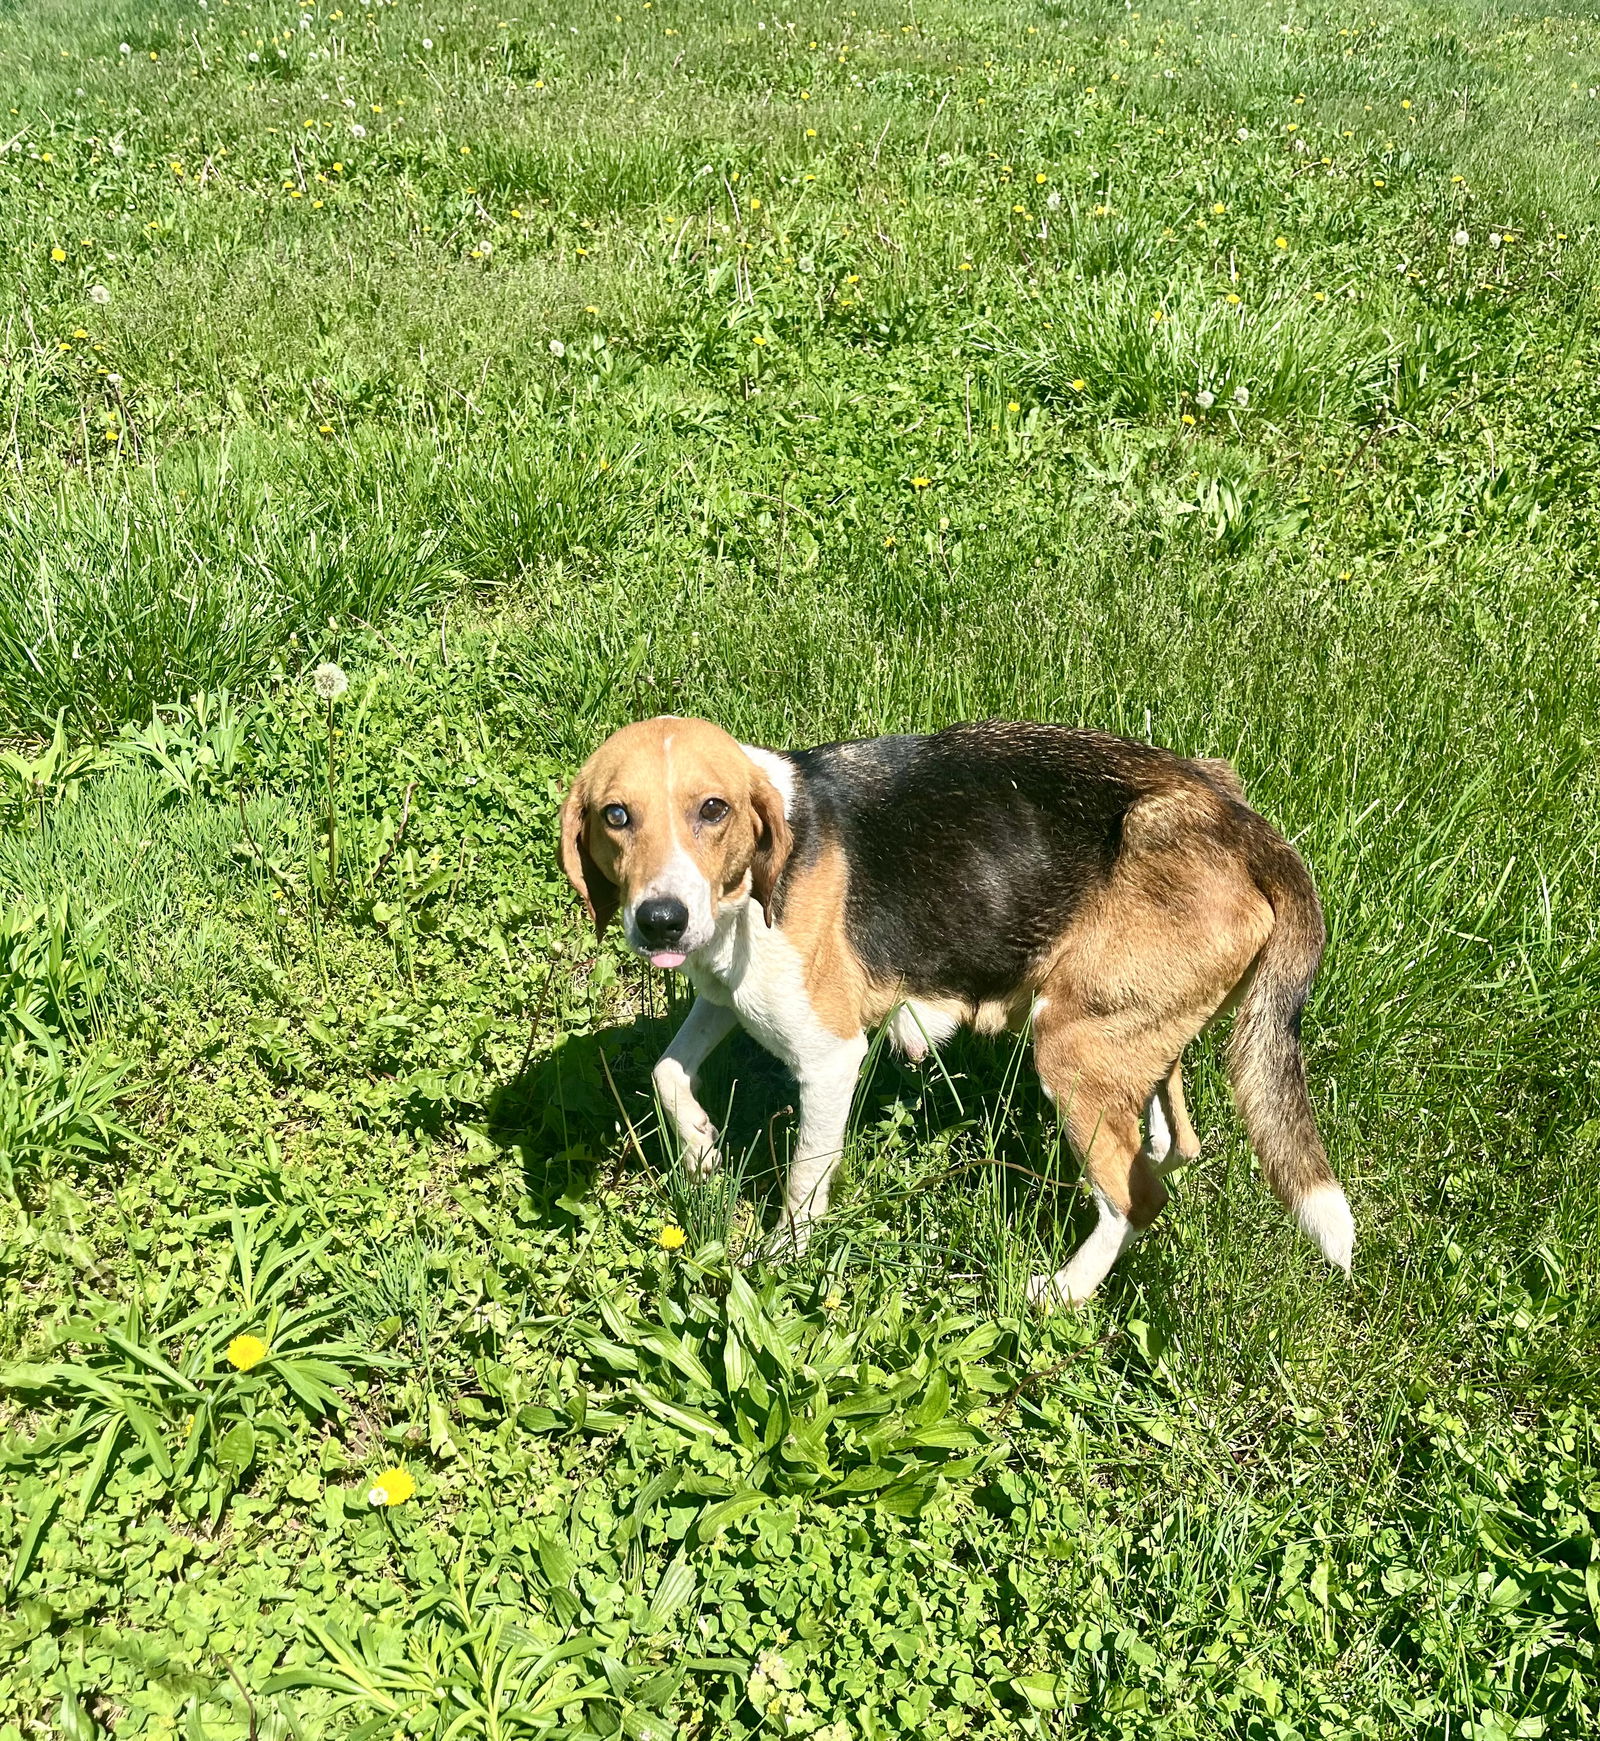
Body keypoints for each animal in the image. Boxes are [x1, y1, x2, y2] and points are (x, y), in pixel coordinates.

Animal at [564, 713, 1351, 1302]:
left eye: (713, 810)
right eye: (615, 816)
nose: (661, 921)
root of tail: (1239, 819)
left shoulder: (829, 1056)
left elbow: (803, 1182)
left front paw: (779, 1262)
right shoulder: (724, 995)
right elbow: (668, 1070)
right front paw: (700, 1149)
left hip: (1070, 1050)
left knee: (1139, 1197)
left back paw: (1061, 1292)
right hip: (1129, 1028)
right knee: (1172, 1143)